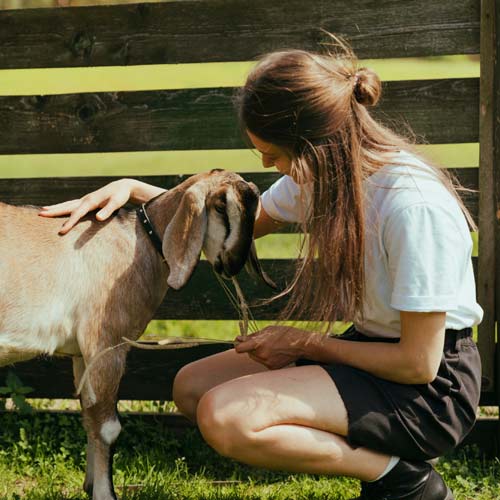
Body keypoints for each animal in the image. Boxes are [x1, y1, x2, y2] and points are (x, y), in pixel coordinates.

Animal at [0, 170, 270, 500]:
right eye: (220, 206)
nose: (232, 263)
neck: (138, 241)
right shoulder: (107, 344)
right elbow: (108, 427)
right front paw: (105, 493)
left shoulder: (83, 354)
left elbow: (90, 417)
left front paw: (90, 485)